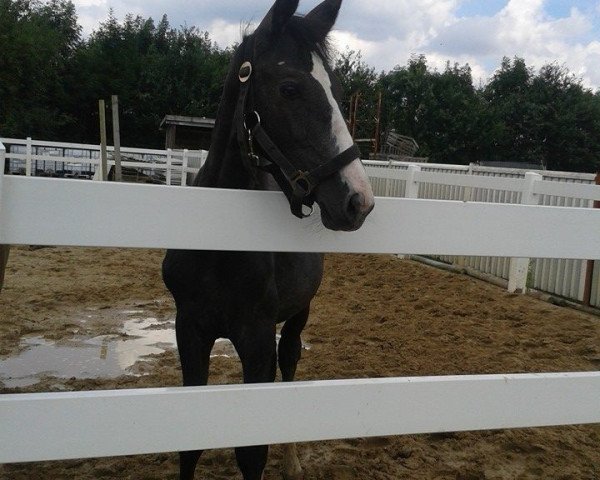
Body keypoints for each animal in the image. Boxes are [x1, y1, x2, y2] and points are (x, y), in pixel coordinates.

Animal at [162, 1, 372, 478]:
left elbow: (252, 453)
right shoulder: (189, 330)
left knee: (289, 364)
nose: (359, 201)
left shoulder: (255, 338)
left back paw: (292, 461)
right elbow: (189, 446)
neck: (218, 249)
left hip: (298, 315)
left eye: (337, 91)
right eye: (289, 88)